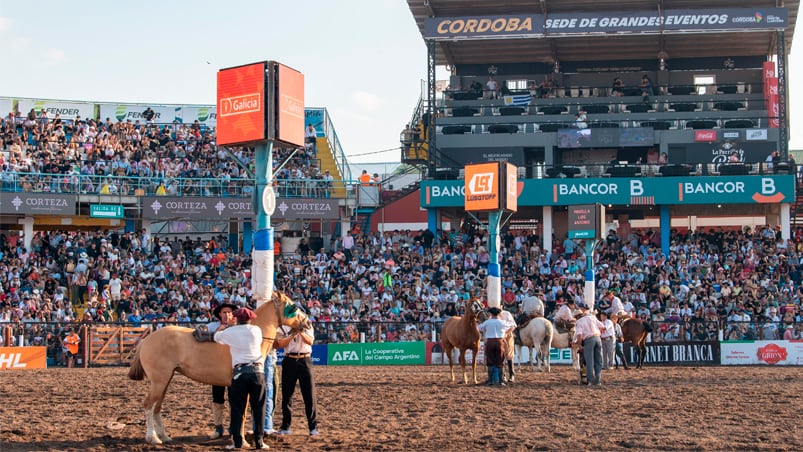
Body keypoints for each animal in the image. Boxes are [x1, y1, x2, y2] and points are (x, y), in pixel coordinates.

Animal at [129, 292, 308, 444]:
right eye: (293, 307)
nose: (307, 322)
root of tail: (146, 340)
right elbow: (242, 413)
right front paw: (241, 440)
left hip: (165, 381)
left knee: (157, 408)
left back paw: (164, 436)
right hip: (159, 382)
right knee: (148, 405)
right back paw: (152, 438)